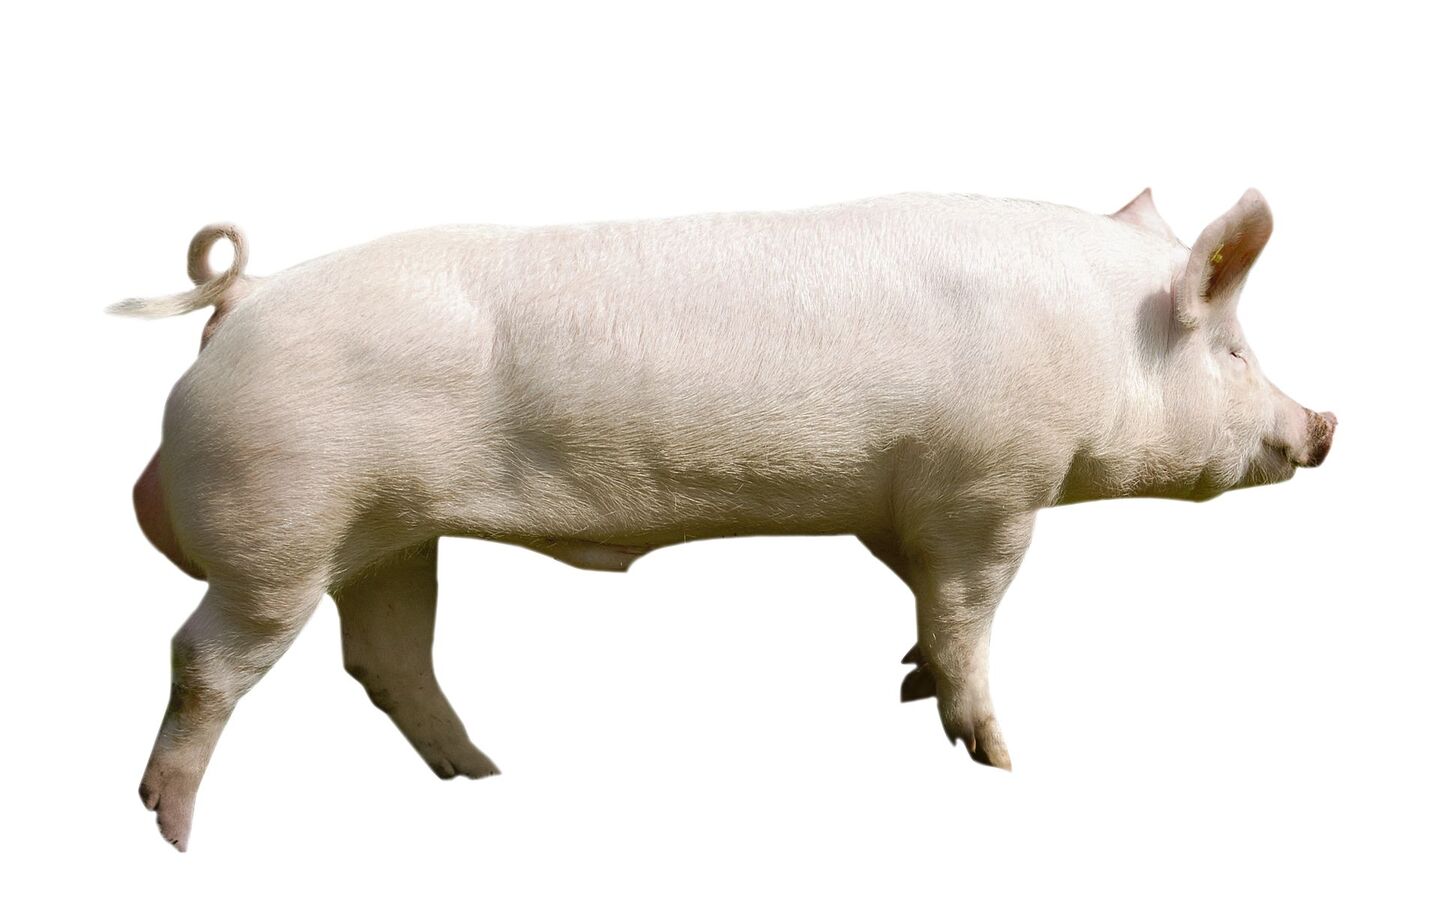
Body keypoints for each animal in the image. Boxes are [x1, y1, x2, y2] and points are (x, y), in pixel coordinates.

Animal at [111, 188, 1335, 850]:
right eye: (1233, 351)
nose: (1325, 425)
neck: (1092, 349)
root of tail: (243, 298)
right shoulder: (989, 489)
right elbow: (971, 612)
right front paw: (996, 758)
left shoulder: (901, 499)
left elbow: (924, 605)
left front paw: (908, 682)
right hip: (281, 529)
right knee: (205, 658)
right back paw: (171, 828)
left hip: (389, 534)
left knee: (384, 656)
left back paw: (484, 775)